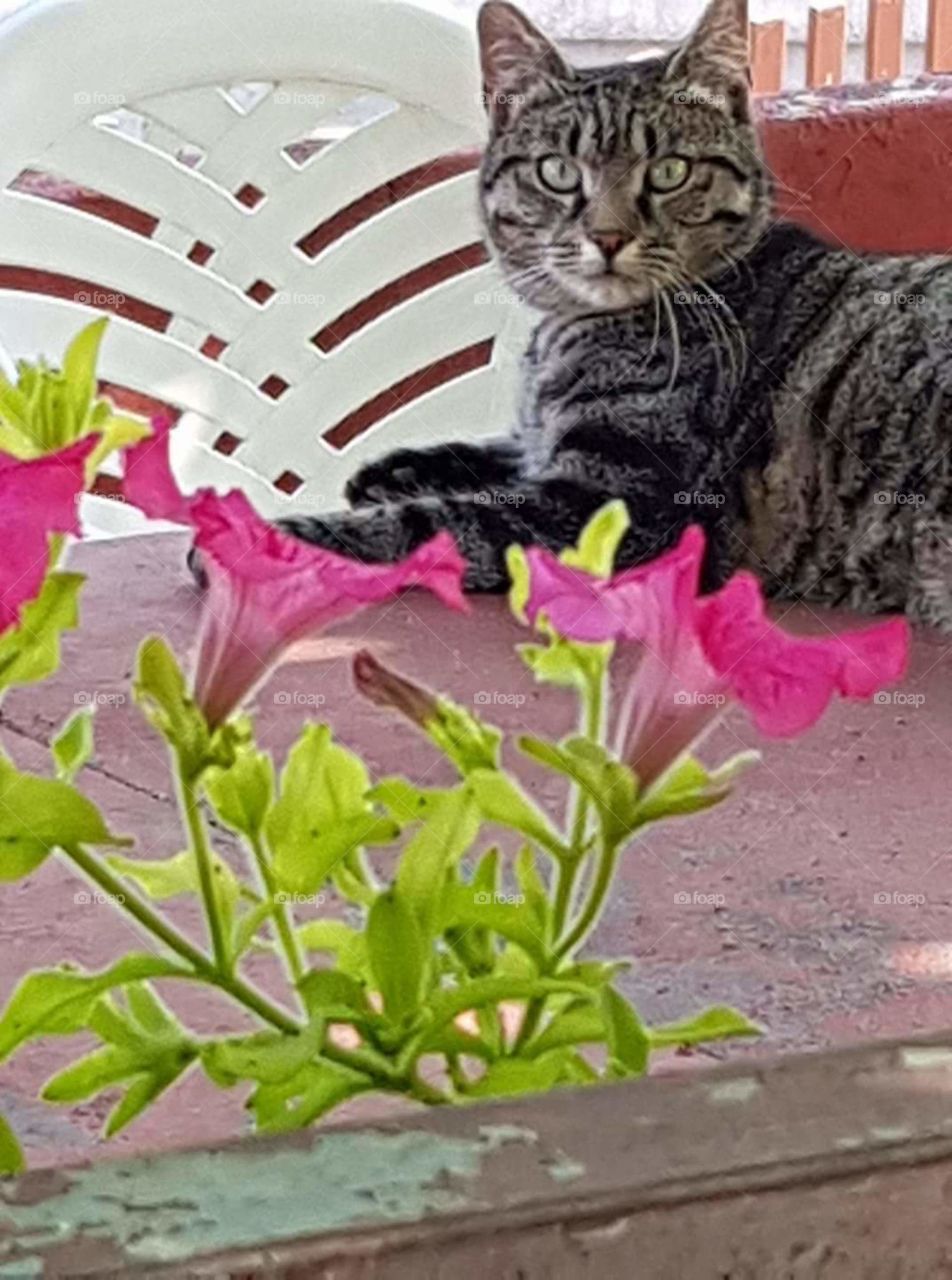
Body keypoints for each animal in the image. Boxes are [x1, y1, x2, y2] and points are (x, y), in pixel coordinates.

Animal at [277, 0, 952, 624]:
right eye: (556, 171)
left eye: (670, 171)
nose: (606, 236)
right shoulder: (545, 448)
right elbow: (497, 446)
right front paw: (391, 468)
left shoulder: (609, 504)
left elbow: (428, 526)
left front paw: (289, 537)